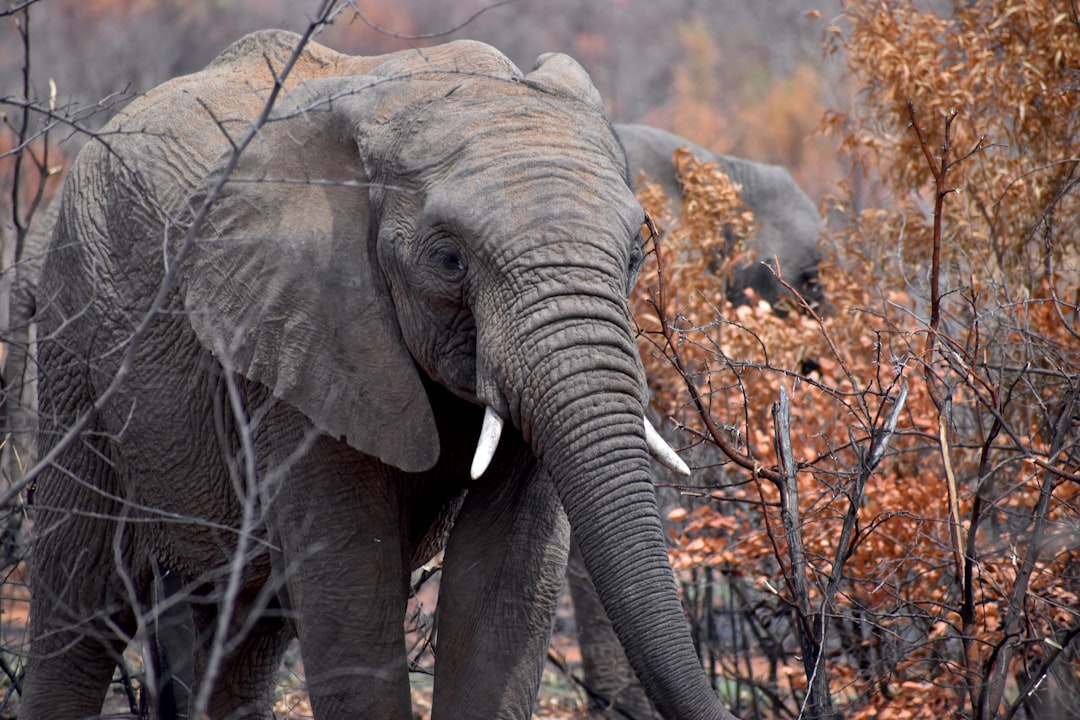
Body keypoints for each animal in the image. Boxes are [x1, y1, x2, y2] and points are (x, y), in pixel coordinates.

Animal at [19, 28, 743, 720]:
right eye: (449, 260)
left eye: (635, 254)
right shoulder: (306, 339)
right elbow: (351, 587)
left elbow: (505, 581)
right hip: (72, 334)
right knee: (81, 604)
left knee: (245, 629)